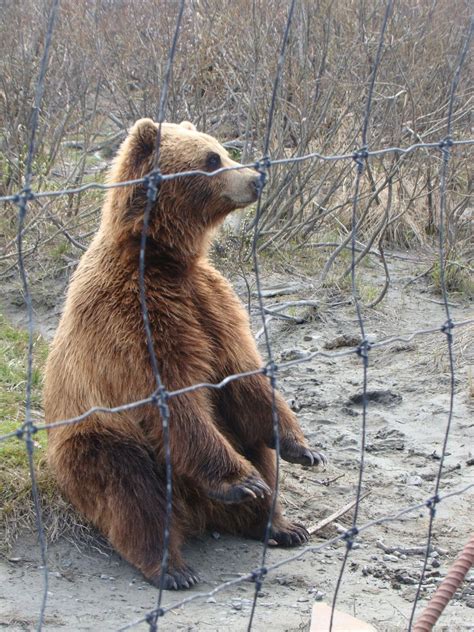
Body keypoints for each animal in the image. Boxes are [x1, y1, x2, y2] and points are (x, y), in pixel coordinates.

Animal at [43, 121, 326, 592]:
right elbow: (172, 399)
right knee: (131, 488)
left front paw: (303, 448)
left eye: (224, 151)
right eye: (211, 159)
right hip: (96, 439)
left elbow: (242, 375)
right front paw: (240, 480)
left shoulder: (211, 303)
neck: (163, 258)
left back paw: (280, 524)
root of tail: (197, 513)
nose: (256, 178)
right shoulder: (132, 319)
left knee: (254, 446)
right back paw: (172, 566)